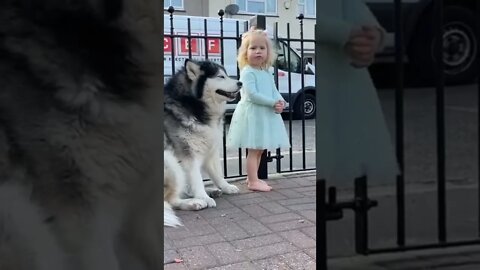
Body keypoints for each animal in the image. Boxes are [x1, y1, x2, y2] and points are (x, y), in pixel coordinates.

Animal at [164, 60, 242, 214]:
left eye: (226, 74)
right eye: (220, 76)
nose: (240, 82)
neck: (193, 104)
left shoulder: (210, 150)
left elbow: (218, 174)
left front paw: (225, 186)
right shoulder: (188, 154)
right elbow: (196, 178)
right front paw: (203, 196)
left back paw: (210, 191)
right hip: (169, 161)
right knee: (170, 200)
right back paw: (194, 202)